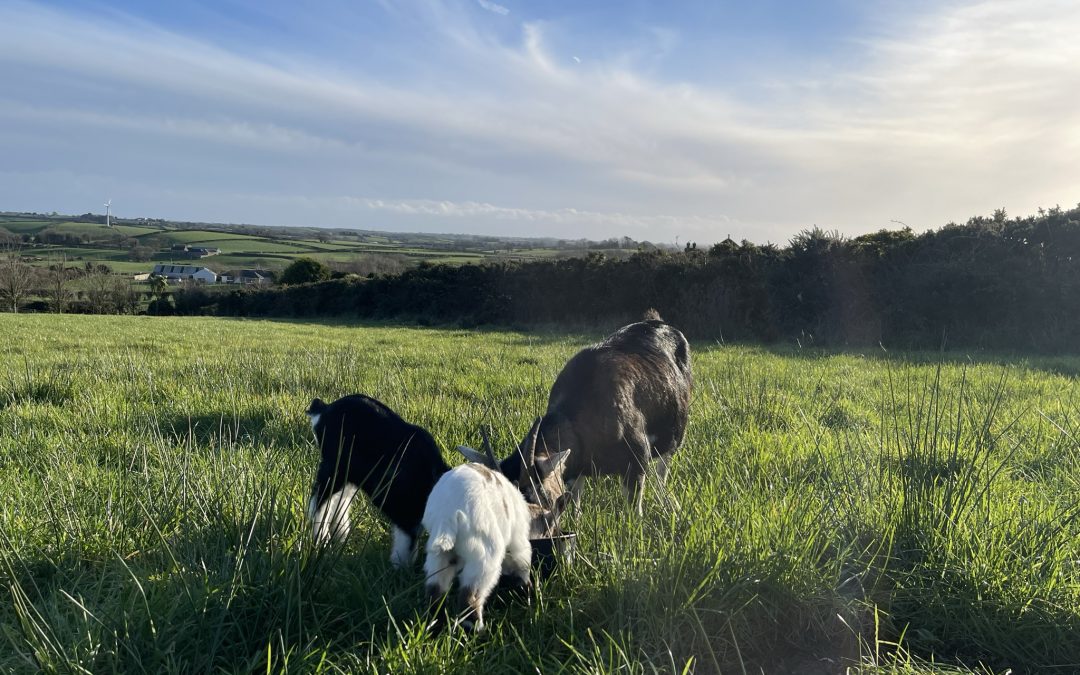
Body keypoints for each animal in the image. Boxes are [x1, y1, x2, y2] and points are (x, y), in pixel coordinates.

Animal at [306, 394, 449, 567]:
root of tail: (324, 410)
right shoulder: (405, 513)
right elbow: (407, 543)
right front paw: (401, 567)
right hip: (335, 467)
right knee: (319, 501)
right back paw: (321, 540)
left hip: (350, 475)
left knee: (340, 500)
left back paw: (341, 536)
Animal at [422, 449, 571, 632]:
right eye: (548, 530)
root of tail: (448, 515)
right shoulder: (519, 543)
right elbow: (522, 567)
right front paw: (531, 592)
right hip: (485, 558)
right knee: (470, 597)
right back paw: (480, 631)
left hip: (439, 556)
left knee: (435, 591)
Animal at [459, 310, 692, 514]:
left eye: (538, 497)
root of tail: (658, 322)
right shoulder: (576, 466)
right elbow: (576, 505)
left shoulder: (636, 459)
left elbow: (635, 509)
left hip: (676, 430)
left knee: (663, 468)